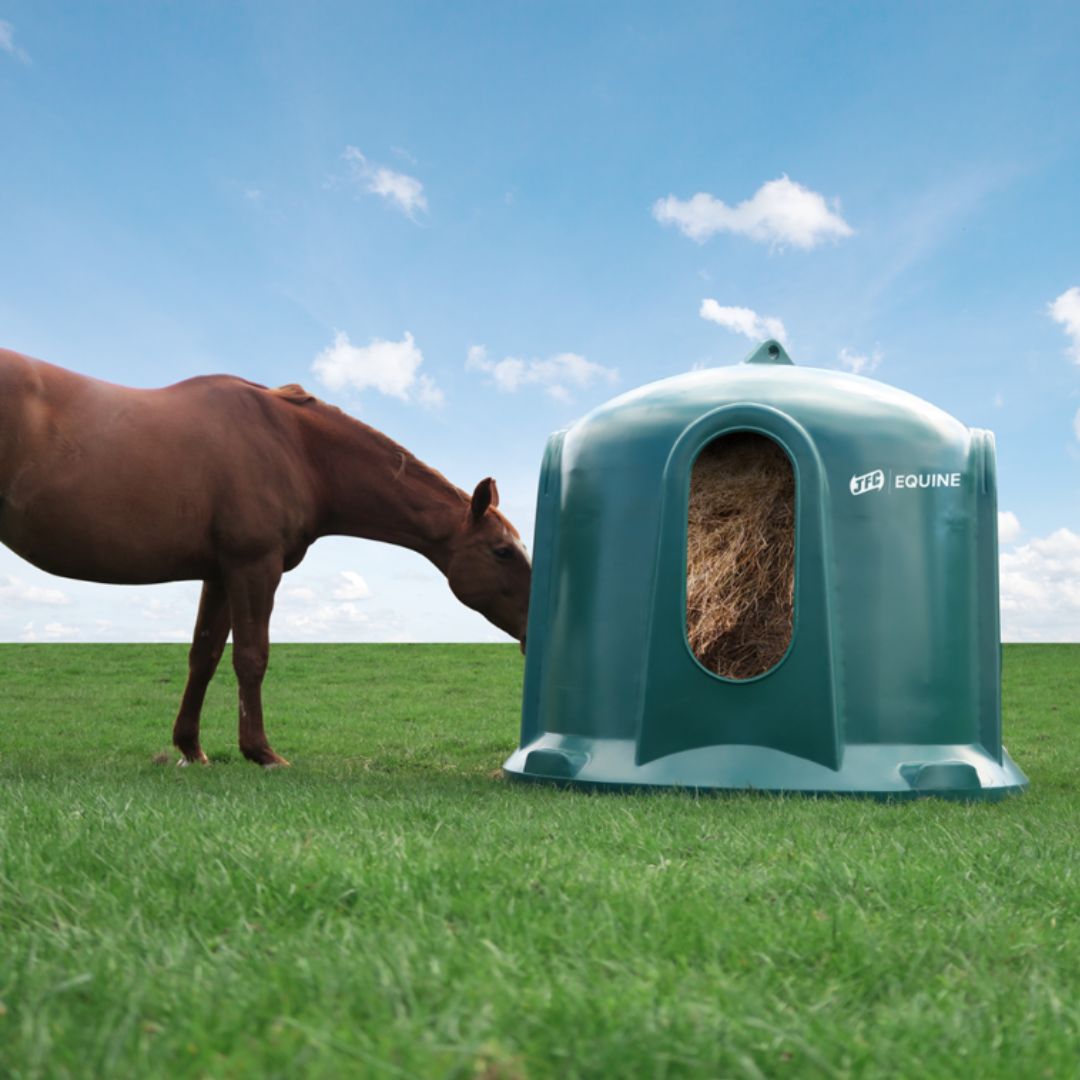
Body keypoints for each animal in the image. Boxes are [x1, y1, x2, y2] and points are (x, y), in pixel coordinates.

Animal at [0, 348, 531, 767]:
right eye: (502, 550)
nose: (534, 631)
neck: (298, 447)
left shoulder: (219, 574)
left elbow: (204, 656)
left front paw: (190, 748)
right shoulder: (254, 566)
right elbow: (252, 656)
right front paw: (261, 752)